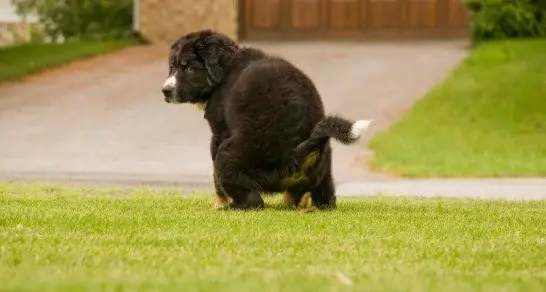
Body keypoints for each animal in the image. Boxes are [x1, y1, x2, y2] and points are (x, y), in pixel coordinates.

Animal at [160, 29, 370, 211]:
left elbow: (216, 181)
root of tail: (296, 155)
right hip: (324, 171)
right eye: (172, 67)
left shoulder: (219, 132)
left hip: (228, 153)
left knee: (253, 201)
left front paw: (218, 204)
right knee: (324, 198)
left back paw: (229, 208)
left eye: (189, 67)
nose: (165, 91)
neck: (227, 70)